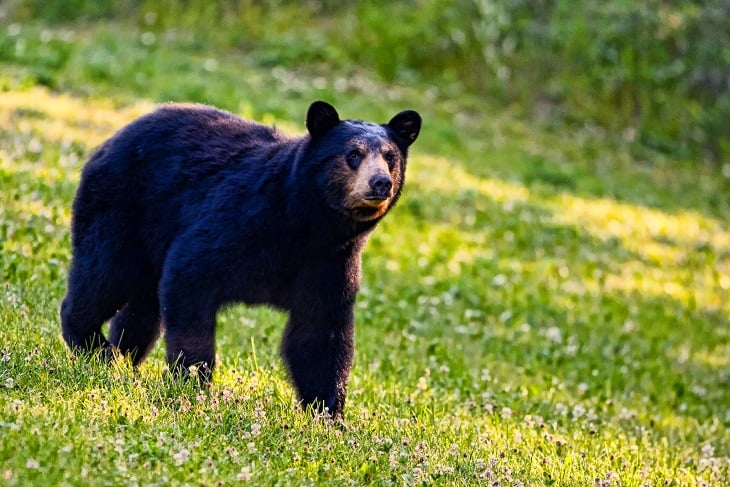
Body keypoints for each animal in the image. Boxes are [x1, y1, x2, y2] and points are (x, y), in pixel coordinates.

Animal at [61, 101, 420, 418]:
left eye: (390, 157)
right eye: (353, 155)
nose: (381, 183)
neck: (305, 226)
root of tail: (113, 138)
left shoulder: (330, 263)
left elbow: (321, 332)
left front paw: (329, 413)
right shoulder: (240, 220)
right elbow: (190, 276)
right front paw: (193, 379)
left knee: (142, 305)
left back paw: (124, 356)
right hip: (122, 207)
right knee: (105, 273)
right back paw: (96, 348)